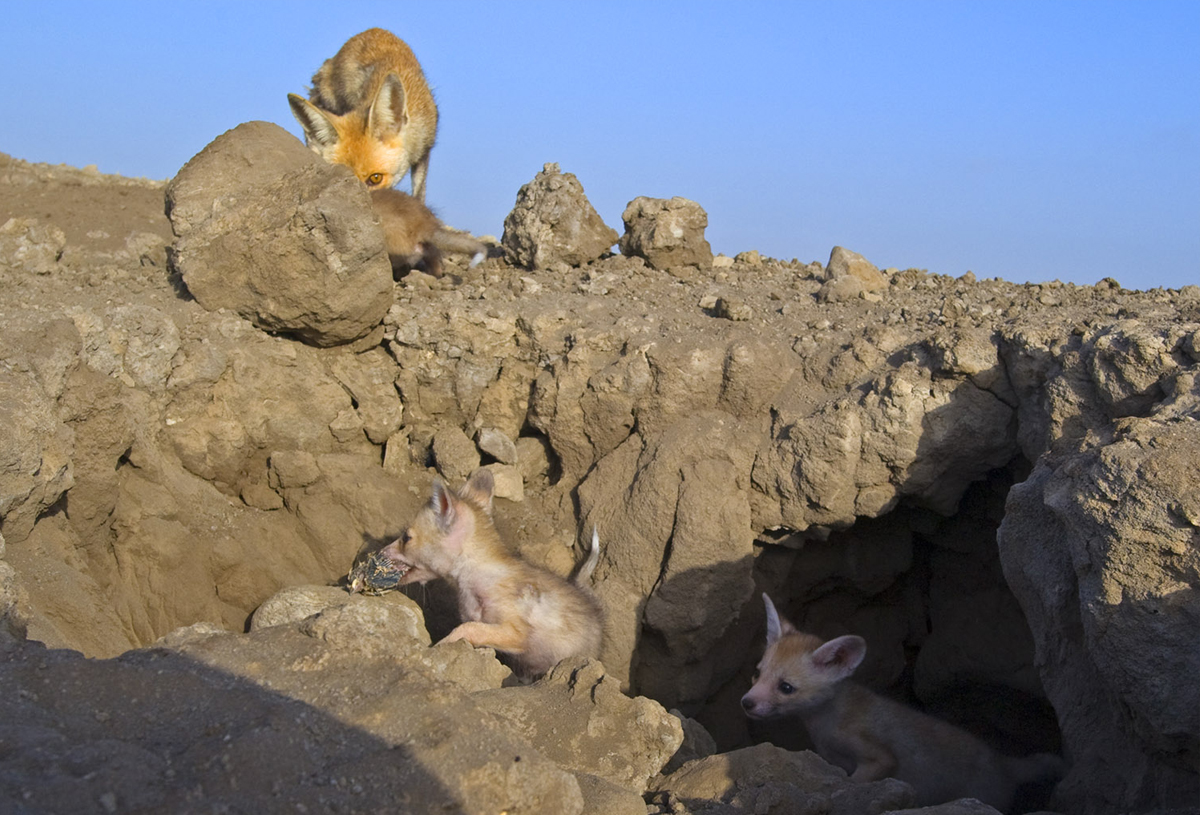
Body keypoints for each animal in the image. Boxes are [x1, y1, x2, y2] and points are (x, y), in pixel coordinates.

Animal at [379, 468, 604, 679]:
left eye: (406, 538)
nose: (381, 552)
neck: (474, 578)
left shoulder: (516, 632)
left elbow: (467, 629)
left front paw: (439, 647)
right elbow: (474, 631)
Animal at [741, 594, 1065, 813]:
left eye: (786, 687)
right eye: (757, 673)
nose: (746, 702)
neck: (828, 723)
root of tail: (1003, 761)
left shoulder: (879, 757)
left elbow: (855, 783)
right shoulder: (832, 758)